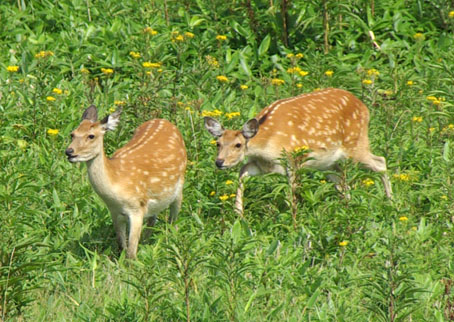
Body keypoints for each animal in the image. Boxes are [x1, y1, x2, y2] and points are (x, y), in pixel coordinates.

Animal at [65, 105, 186, 260]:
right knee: (153, 219)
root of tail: (166, 121)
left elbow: (131, 253)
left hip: (180, 185)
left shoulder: (136, 209)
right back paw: (147, 242)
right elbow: (122, 246)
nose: (69, 152)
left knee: (174, 221)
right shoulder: (115, 212)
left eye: (91, 136)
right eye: (72, 134)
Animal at [206, 88, 394, 218]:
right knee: (343, 182)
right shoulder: (265, 165)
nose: (219, 162)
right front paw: (238, 214)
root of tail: (364, 107)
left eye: (238, 145)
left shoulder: (293, 160)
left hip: (355, 145)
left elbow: (292, 193)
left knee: (380, 162)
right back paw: (347, 210)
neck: (268, 143)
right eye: (218, 144)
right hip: (328, 163)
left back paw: (391, 202)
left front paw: (294, 222)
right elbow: (242, 171)